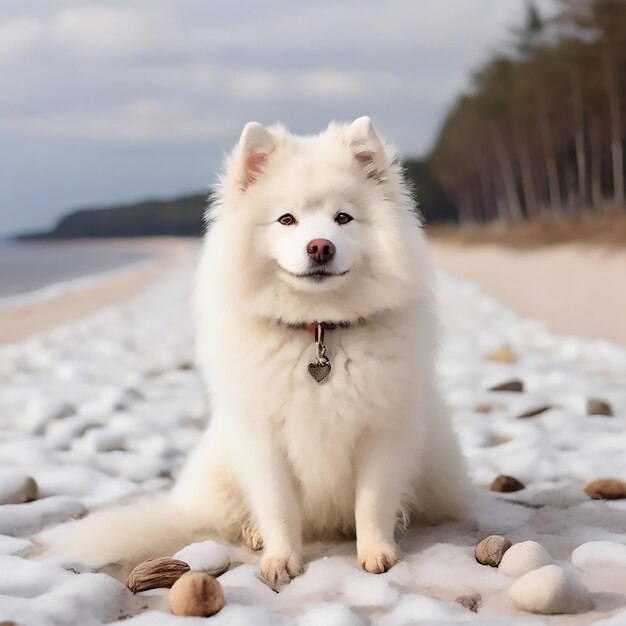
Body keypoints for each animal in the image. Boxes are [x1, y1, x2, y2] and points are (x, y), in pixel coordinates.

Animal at [54, 118, 468, 588]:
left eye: (343, 218)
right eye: (287, 219)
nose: (320, 246)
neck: (318, 332)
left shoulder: (382, 434)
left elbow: (372, 502)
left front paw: (376, 553)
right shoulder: (264, 439)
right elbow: (277, 506)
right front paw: (282, 560)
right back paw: (253, 536)